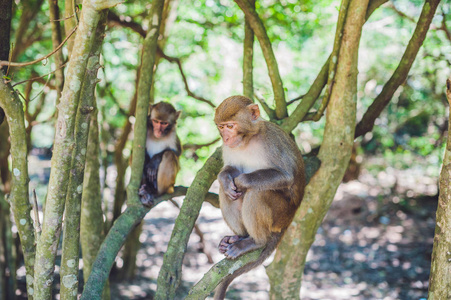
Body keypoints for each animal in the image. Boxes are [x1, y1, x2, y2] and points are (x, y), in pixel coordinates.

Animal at [214, 95, 306, 298]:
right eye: (221, 127)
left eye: (231, 126)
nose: (226, 138)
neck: (247, 140)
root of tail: (288, 221)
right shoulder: (228, 148)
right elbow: (231, 170)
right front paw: (225, 178)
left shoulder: (271, 142)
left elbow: (285, 177)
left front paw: (241, 181)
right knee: (226, 193)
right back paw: (239, 236)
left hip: (281, 215)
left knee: (258, 192)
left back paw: (255, 242)